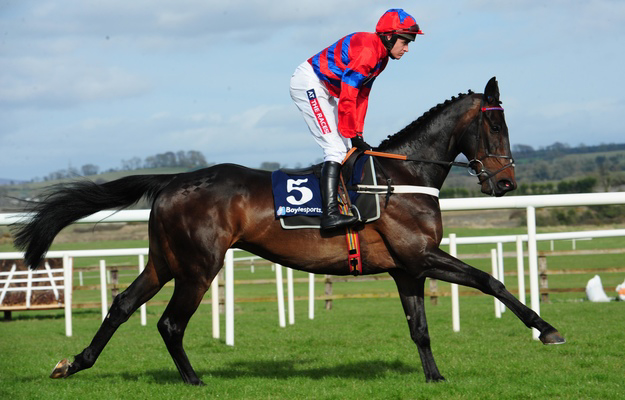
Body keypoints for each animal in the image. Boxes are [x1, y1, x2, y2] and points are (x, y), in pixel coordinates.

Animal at [11, 76, 564, 386]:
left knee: (123, 305)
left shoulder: (406, 269)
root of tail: (172, 180)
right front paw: (547, 329)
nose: (506, 183)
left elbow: (420, 329)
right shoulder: (421, 255)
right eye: (496, 126)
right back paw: (193, 380)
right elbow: (490, 281)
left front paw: (434, 377)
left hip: (165, 260)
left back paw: (75, 363)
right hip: (199, 266)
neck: (400, 177)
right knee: (169, 323)